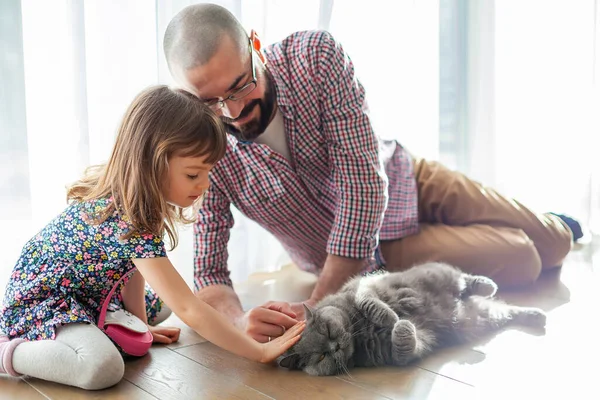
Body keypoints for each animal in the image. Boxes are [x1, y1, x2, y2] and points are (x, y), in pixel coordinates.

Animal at [278, 260, 548, 376]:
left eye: (328, 330)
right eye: (321, 356)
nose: (334, 348)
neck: (359, 331)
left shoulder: (364, 285)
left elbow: (369, 302)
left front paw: (390, 317)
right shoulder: (396, 354)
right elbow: (405, 350)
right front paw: (402, 326)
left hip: (436, 272)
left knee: (463, 277)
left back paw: (487, 285)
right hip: (482, 317)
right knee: (508, 310)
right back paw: (536, 316)